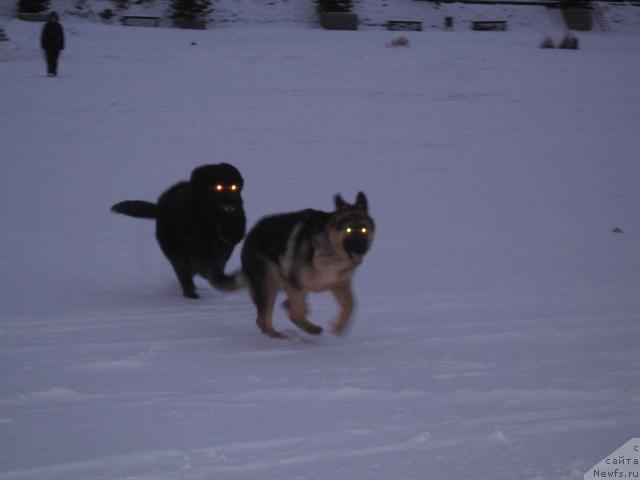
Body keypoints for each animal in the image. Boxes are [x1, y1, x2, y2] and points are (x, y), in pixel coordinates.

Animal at [111, 165, 246, 300]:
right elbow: (199, 266)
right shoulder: (193, 246)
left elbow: (217, 265)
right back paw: (191, 295)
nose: (232, 201)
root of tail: (159, 205)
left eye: (234, 187)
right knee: (184, 270)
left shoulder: (225, 246)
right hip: (174, 247)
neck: (213, 221)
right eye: (218, 187)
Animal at [225, 191, 376, 338]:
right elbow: (298, 311)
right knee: (263, 319)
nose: (361, 249)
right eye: (349, 229)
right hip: (269, 282)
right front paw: (310, 326)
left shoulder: (337, 283)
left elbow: (351, 304)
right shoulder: (294, 284)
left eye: (364, 229)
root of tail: (250, 235)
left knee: (282, 307)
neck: (330, 248)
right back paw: (280, 336)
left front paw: (338, 326)